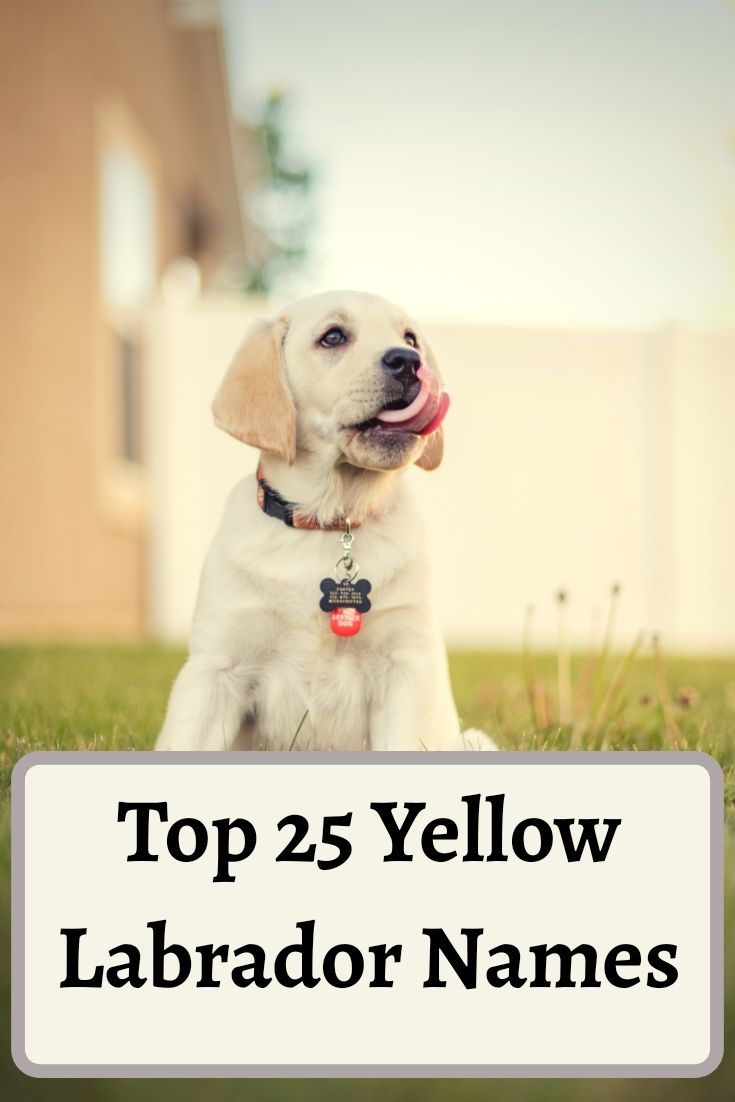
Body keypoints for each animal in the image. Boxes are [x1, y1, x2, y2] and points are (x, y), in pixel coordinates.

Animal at [158, 288, 498, 753]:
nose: (409, 361)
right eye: (333, 337)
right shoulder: (217, 667)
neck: (331, 522)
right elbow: (186, 738)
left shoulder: (407, 664)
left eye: (410, 338)